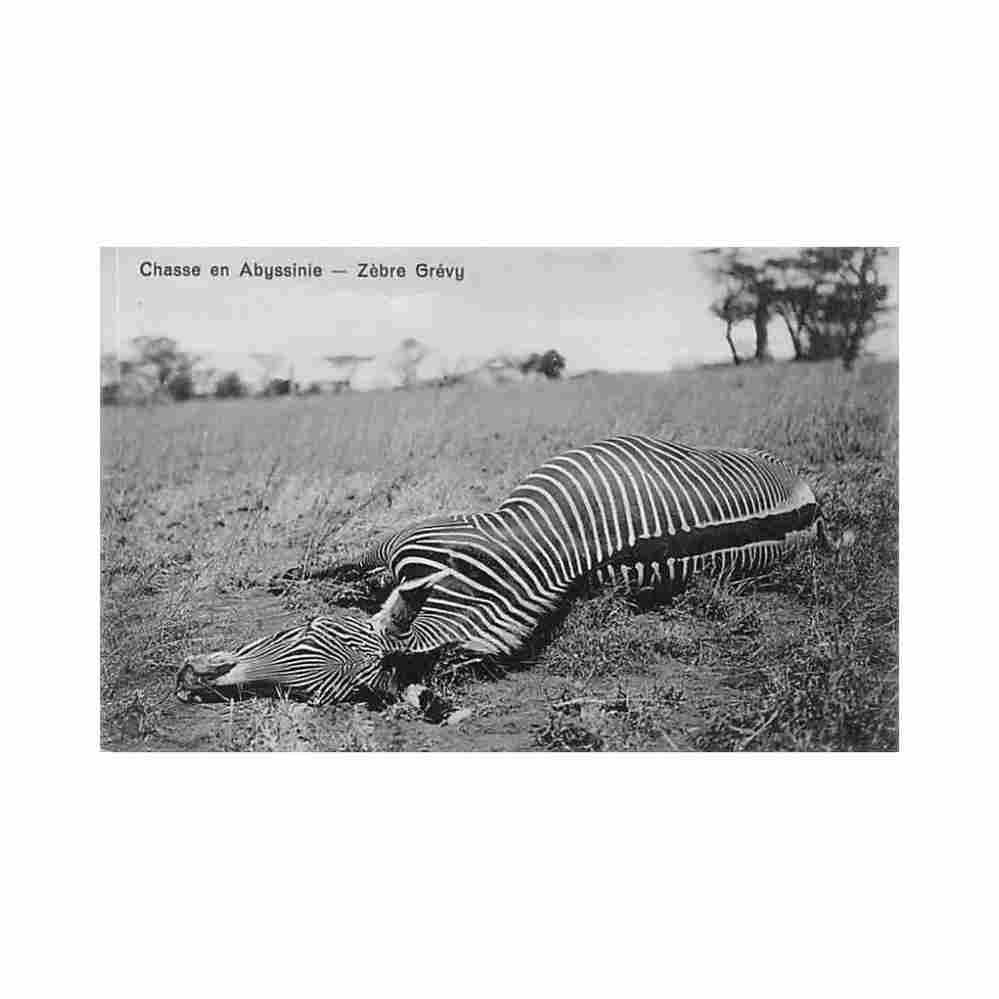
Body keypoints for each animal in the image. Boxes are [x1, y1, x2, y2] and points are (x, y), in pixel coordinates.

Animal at [176, 434, 839, 705]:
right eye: (302, 631)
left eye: (308, 695)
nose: (189, 680)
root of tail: (808, 498)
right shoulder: (401, 542)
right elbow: (339, 564)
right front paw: (288, 577)